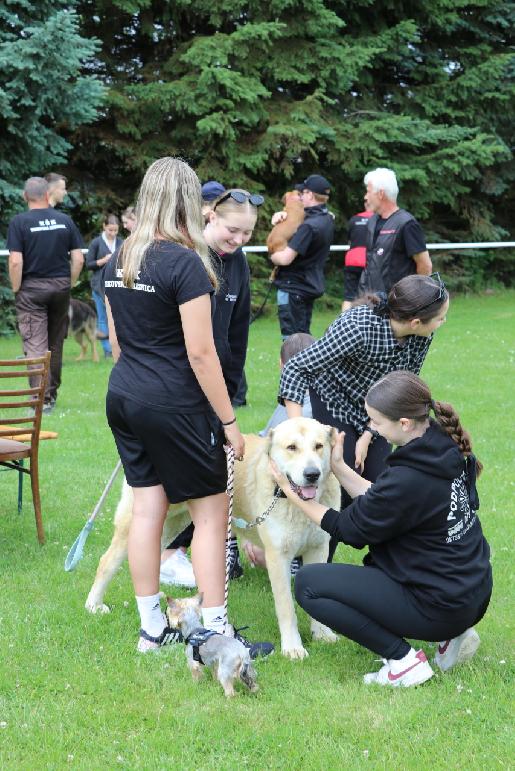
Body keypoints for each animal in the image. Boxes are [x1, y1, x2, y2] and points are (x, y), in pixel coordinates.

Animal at [86, 420, 340, 660]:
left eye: (319, 446)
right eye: (291, 447)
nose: (312, 474)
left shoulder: (319, 549)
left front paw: (322, 634)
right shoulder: (278, 557)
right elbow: (287, 608)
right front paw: (293, 648)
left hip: (171, 524)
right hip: (139, 524)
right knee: (107, 561)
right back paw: (94, 604)